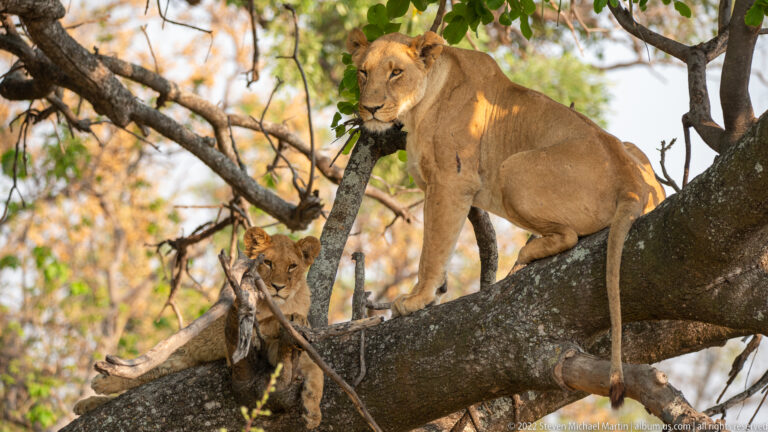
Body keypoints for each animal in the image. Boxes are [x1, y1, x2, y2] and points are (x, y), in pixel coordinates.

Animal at [73, 227, 324, 429]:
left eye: (292, 266)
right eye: (268, 263)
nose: (278, 287)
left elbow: (315, 368)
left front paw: (313, 412)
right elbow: (271, 323)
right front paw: (292, 317)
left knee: (154, 370)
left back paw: (90, 400)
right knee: (145, 367)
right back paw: (100, 384)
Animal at [346, 29, 665, 407]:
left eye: (396, 72)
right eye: (363, 72)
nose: (370, 108)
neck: (421, 104)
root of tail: (631, 184)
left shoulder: (452, 181)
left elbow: (433, 249)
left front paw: (418, 298)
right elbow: (440, 243)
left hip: (512, 168)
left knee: (569, 236)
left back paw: (525, 256)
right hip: (630, 151)